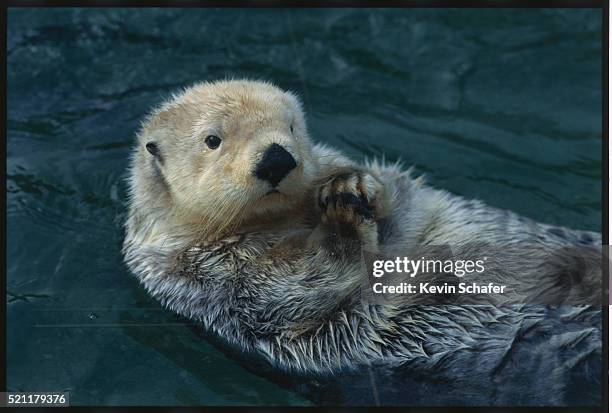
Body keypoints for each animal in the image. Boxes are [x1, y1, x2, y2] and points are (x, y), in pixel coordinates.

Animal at [123, 79, 604, 404]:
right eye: (213, 140)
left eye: (291, 127)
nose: (277, 157)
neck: (283, 222)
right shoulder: (210, 277)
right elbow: (295, 288)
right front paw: (343, 220)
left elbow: (403, 199)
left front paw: (353, 184)